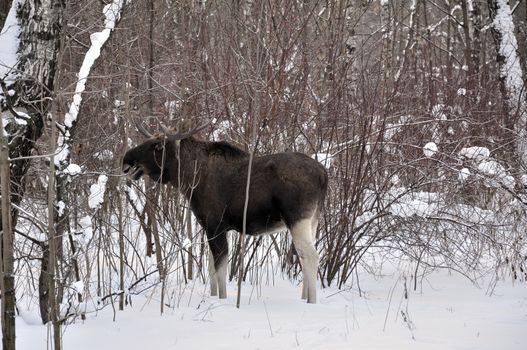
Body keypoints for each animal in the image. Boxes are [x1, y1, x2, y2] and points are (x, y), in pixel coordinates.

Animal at [123, 122, 328, 304]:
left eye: (158, 146)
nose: (126, 159)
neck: (188, 178)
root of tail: (324, 174)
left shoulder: (216, 225)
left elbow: (220, 269)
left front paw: (221, 300)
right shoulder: (210, 228)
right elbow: (211, 267)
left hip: (297, 220)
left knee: (312, 257)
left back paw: (311, 302)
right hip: (312, 221)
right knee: (304, 257)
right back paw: (304, 297)